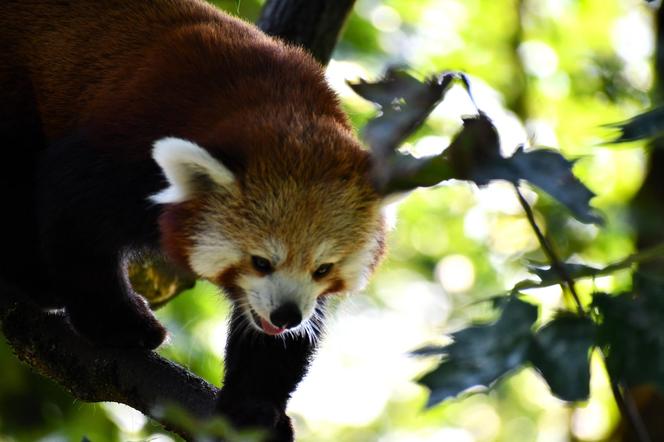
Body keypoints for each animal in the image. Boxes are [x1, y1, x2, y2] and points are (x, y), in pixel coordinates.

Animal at [0, 0, 384, 438]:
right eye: (260, 262)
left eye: (322, 269)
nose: (286, 316)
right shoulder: (130, 150)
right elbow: (75, 212)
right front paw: (117, 323)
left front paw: (254, 406)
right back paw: (34, 279)